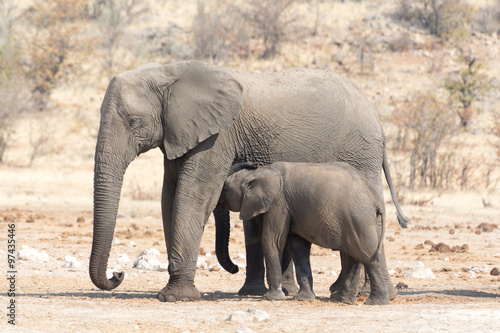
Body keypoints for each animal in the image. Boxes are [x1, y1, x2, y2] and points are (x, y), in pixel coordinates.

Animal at [221, 161, 392, 304]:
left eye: (225, 189)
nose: (236, 268)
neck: (263, 171)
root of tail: (376, 200)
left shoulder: (279, 204)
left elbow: (273, 241)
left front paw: (271, 298)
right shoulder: (291, 209)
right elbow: (298, 247)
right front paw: (303, 299)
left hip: (358, 219)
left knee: (367, 257)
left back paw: (374, 302)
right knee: (354, 257)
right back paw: (343, 300)